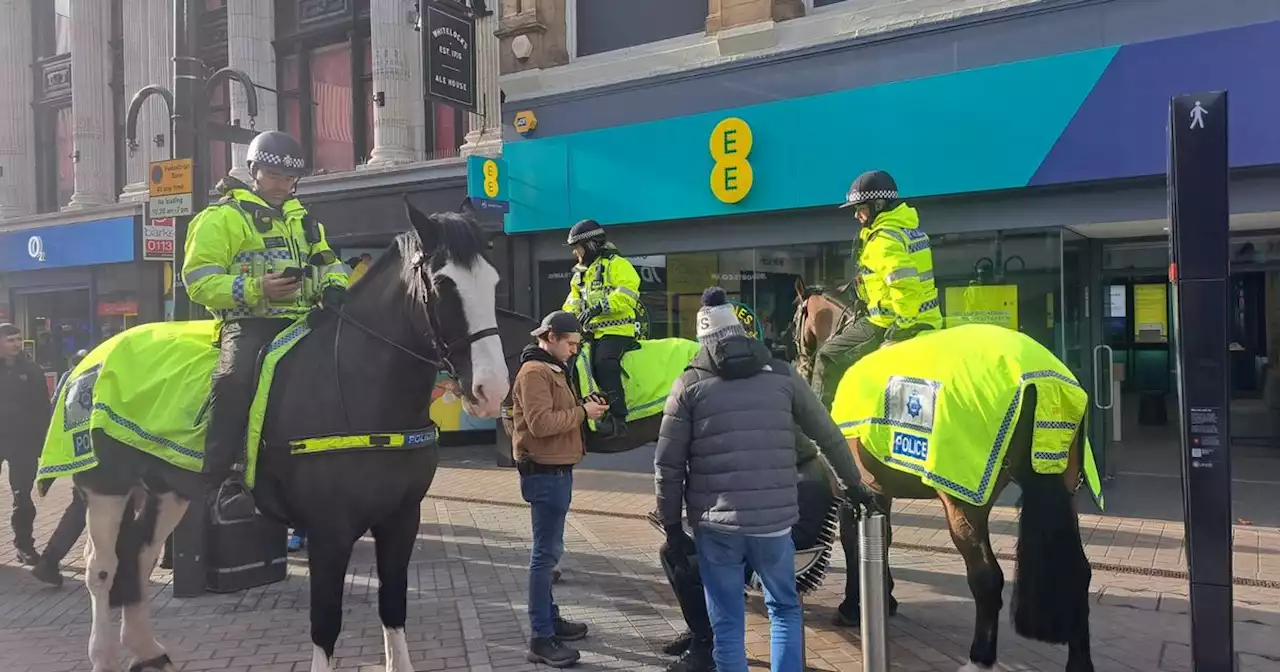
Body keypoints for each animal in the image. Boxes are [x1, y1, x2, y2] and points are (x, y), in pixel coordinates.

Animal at [62, 203, 506, 670]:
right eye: (442, 284)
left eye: (494, 281)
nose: (491, 391)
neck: (358, 387)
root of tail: (92, 357)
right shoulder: (329, 529)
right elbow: (325, 624)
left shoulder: (401, 518)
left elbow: (393, 607)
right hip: (106, 487)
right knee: (102, 568)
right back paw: (104, 654)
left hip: (166, 488)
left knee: (140, 556)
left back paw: (146, 648)